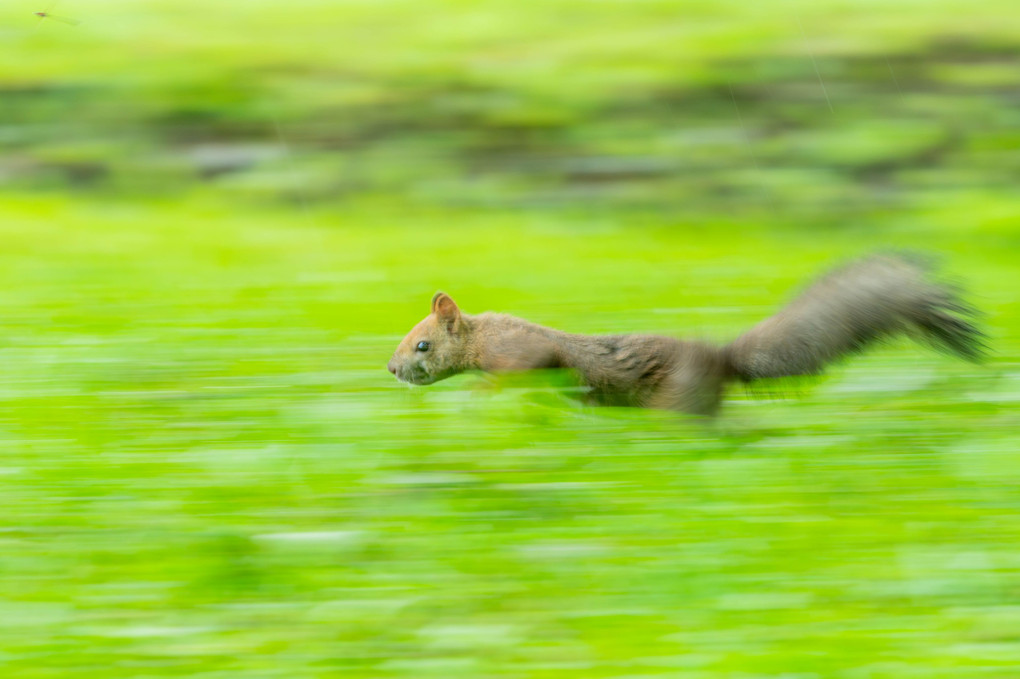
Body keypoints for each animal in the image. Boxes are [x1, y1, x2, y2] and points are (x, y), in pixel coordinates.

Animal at [383, 252, 979, 411]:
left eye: (422, 344)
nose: (390, 368)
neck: (485, 336)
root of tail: (719, 360)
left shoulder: (523, 351)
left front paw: (480, 396)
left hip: (678, 394)